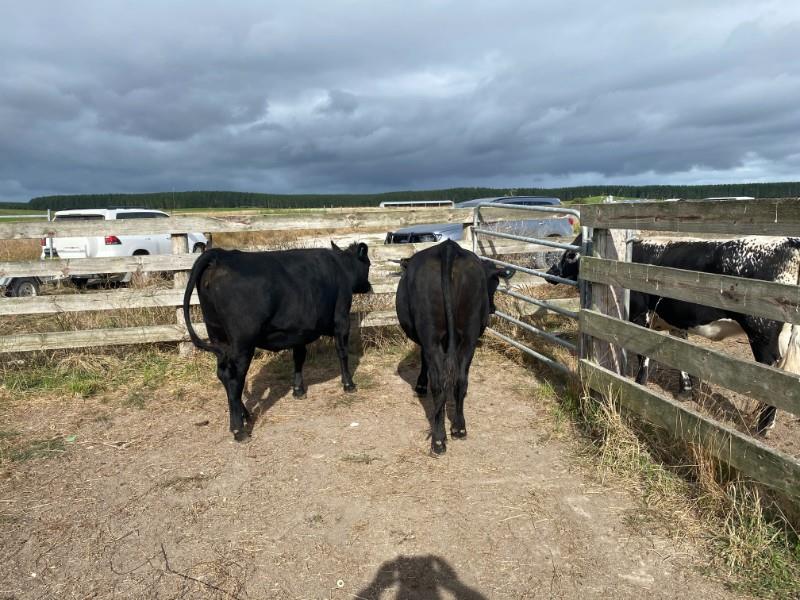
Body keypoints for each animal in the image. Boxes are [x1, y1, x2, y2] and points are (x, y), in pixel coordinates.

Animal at [183, 242, 372, 440]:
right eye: (368, 264)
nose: (368, 286)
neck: (341, 267)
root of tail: (219, 255)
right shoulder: (342, 320)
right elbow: (342, 352)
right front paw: (349, 384)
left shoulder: (299, 331)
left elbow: (299, 358)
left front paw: (298, 390)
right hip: (243, 343)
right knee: (234, 378)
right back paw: (239, 429)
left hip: (218, 336)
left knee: (223, 375)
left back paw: (246, 415)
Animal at [396, 240, 513, 455]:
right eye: (493, 284)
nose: (493, 308)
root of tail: (448, 247)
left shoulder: (428, 342)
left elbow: (424, 360)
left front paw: (421, 385)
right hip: (469, 334)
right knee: (461, 379)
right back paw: (459, 428)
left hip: (432, 335)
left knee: (439, 384)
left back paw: (439, 439)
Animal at [547, 233, 800, 435]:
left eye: (570, 256)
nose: (550, 272)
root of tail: (789, 241)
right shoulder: (677, 322)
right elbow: (680, 356)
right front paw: (685, 391)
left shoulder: (640, 315)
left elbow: (643, 353)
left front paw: (639, 383)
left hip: (763, 336)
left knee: (774, 379)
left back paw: (763, 427)